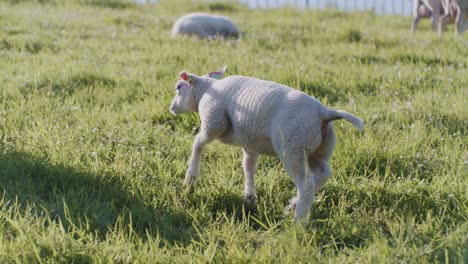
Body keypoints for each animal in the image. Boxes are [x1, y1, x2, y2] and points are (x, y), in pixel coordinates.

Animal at [170, 66, 364, 223]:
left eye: (178, 87)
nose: (172, 108)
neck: (207, 90)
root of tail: (323, 112)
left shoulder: (213, 123)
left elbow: (197, 144)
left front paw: (190, 179)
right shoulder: (250, 142)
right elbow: (248, 166)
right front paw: (250, 198)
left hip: (292, 148)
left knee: (306, 185)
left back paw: (297, 223)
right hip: (319, 149)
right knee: (324, 174)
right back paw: (293, 205)